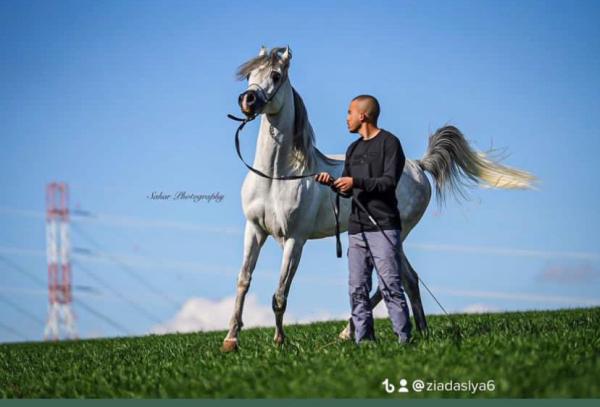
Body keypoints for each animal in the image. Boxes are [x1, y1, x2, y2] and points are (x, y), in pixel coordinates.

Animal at [222, 45, 537, 352]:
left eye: (275, 75)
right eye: (249, 75)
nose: (247, 100)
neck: (277, 176)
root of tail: (418, 166)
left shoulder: (294, 239)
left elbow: (280, 293)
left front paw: (279, 341)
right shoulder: (255, 230)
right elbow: (243, 281)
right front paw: (231, 340)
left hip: (392, 233)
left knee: (393, 280)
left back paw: (352, 332)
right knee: (409, 278)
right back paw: (419, 330)